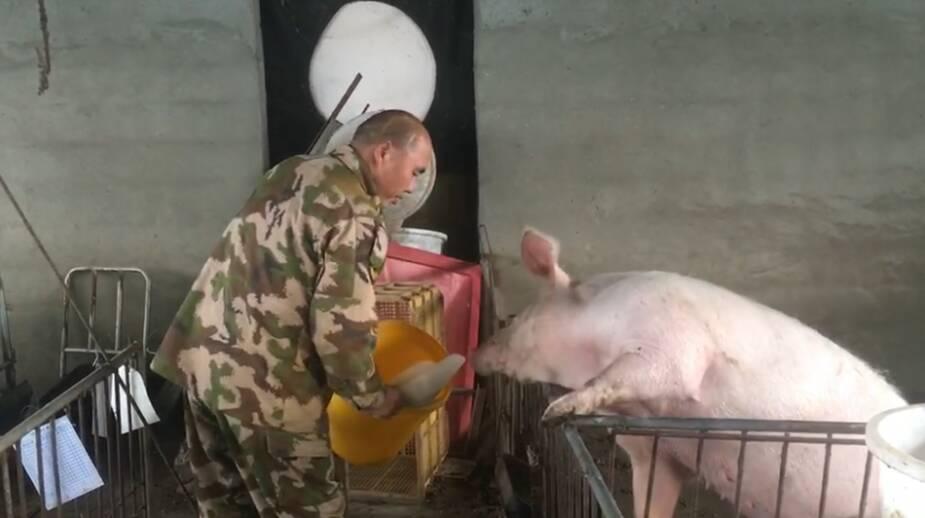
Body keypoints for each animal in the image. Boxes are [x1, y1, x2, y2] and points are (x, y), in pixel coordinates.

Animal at [472, 229, 904, 518]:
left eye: (522, 318)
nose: (476, 353)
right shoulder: (656, 451)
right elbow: (654, 495)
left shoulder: (670, 344)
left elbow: (629, 373)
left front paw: (556, 411)